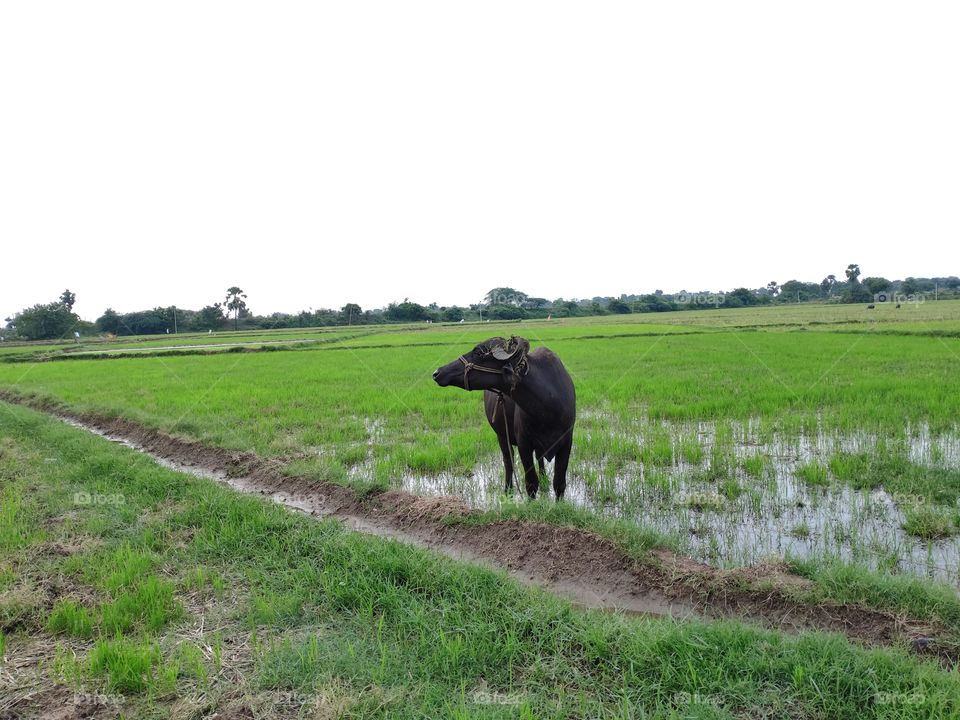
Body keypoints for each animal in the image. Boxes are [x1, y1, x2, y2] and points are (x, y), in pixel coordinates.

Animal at [433, 336, 576, 499]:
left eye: (479, 353)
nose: (437, 372)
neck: (547, 408)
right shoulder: (524, 444)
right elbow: (531, 483)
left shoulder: (566, 442)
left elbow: (559, 483)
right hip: (501, 435)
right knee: (509, 461)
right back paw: (508, 489)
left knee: (538, 458)